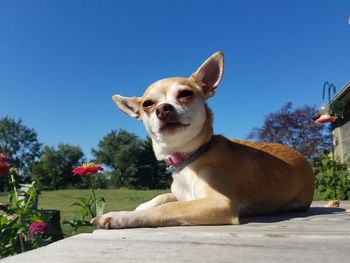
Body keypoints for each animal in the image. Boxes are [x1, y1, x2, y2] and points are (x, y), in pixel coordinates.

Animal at [92, 51, 314, 229]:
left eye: (185, 93)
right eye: (147, 104)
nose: (163, 109)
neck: (187, 158)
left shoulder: (219, 202)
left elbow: (169, 208)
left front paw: (121, 216)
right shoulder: (184, 195)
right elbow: (164, 196)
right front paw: (140, 206)